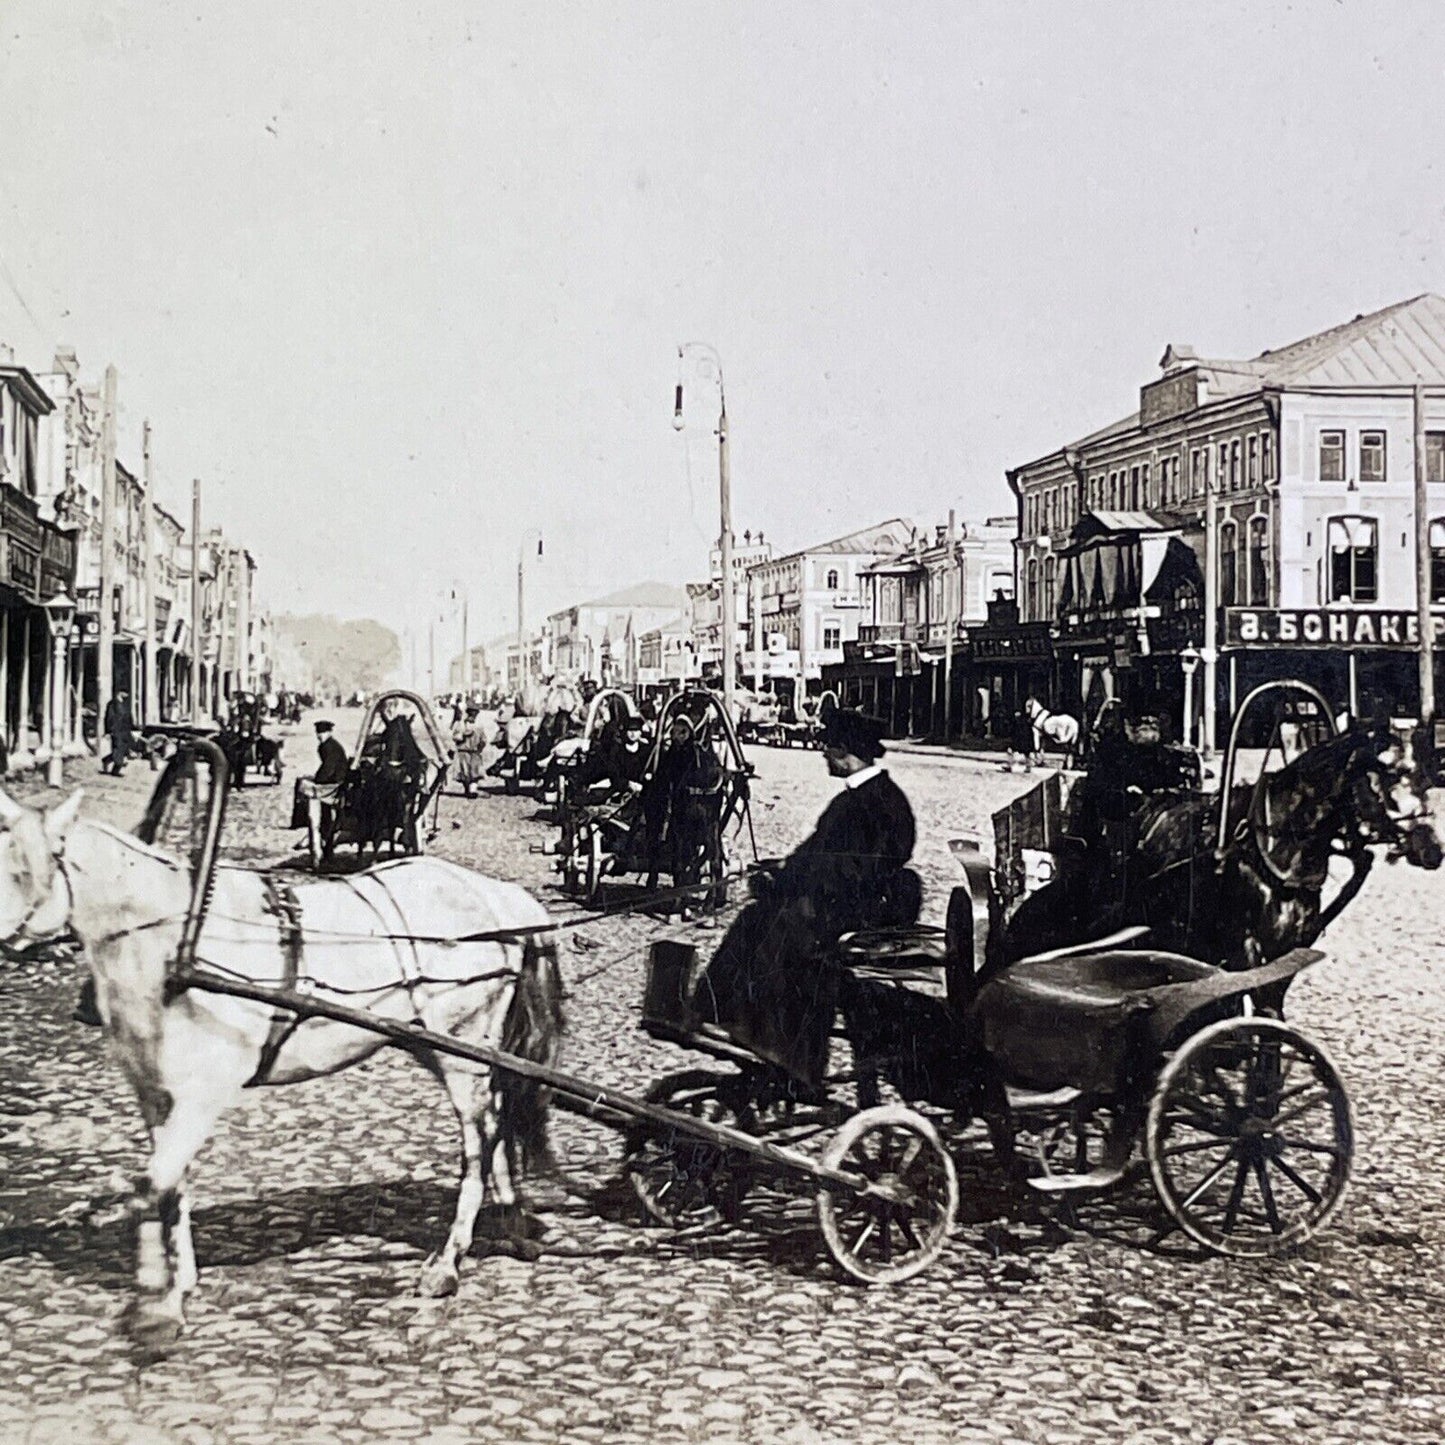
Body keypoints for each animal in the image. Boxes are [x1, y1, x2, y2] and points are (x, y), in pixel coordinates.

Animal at [0, 791, 560, 1340]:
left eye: (20, 868)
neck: (174, 946)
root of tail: (502, 898)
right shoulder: (155, 1095)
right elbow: (169, 1185)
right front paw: (178, 1283)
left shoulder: (203, 1093)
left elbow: (152, 1182)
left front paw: (157, 1303)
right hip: (445, 1048)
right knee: (500, 1122)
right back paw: (512, 1225)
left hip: (461, 1050)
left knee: (478, 1146)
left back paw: (447, 1262)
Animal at [999, 719, 1439, 1005]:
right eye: (1388, 773)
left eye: (1425, 774)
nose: (1432, 848)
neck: (1272, 848)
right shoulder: (1245, 947)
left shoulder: (1287, 950)